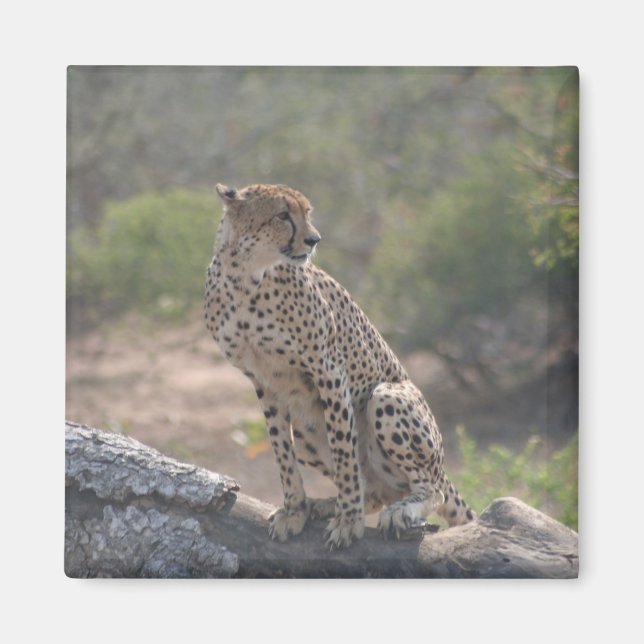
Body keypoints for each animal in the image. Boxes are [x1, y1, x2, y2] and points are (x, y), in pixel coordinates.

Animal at [204, 182, 476, 549]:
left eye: (307, 212)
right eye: (282, 215)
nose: (314, 240)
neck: (246, 275)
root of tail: (441, 467)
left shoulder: (327, 369)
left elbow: (345, 455)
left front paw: (348, 520)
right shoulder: (264, 381)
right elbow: (281, 451)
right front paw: (295, 509)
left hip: (387, 397)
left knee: (431, 491)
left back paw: (398, 511)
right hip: (306, 431)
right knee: (379, 491)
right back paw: (322, 505)